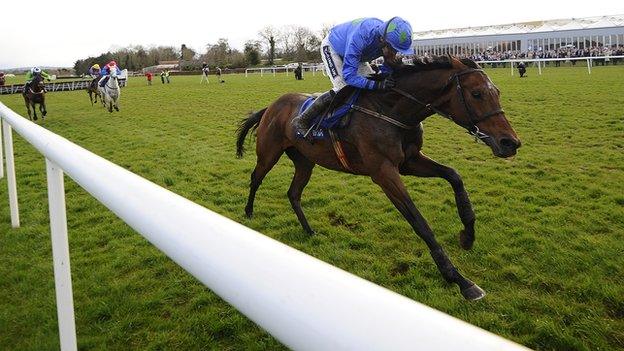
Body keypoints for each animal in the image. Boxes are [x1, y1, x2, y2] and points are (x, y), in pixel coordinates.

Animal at [235, 56, 520, 302]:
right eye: (477, 94)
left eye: (497, 92)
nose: (510, 142)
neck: (392, 111)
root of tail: (272, 105)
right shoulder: (384, 173)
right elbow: (419, 222)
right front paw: (460, 280)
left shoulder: (409, 162)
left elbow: (454, 176)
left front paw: (468, 235)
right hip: (269, 153)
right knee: (256, 177)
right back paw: (248, 212)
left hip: (306, 161)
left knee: (293, 193)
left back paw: (309, 230)